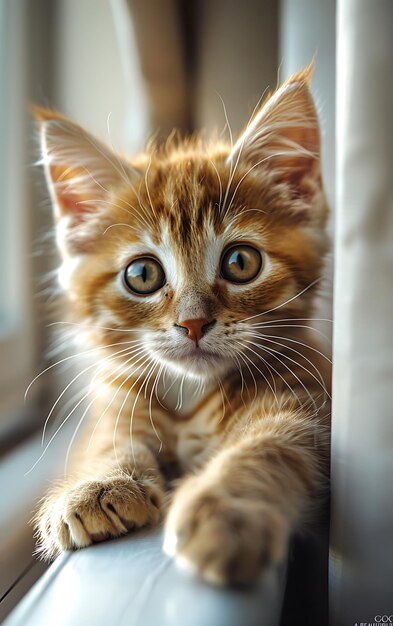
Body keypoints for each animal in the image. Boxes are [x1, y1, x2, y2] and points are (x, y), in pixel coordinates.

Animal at [33, 68, 330, 584]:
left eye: (240, 262)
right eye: (142, 274)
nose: (193, 323)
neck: (191, 392)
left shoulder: (304, 401)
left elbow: (272, 445)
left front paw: (228, 510)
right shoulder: (117, 400)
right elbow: (110, 442)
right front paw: (97, 484)